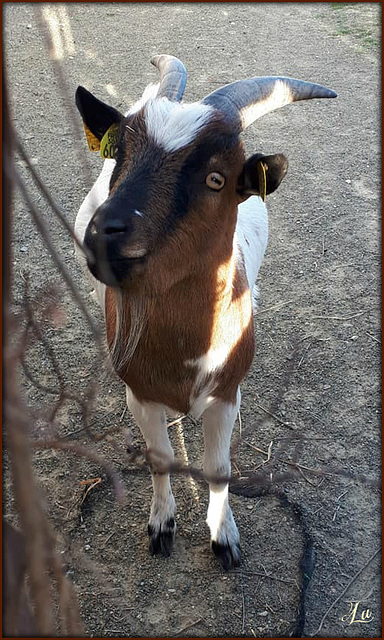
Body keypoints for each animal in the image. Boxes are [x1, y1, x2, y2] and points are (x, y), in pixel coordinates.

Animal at [75, 52, 336, 568]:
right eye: (120, 158)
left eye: (216, 179)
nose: (103, 234)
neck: (187, 353)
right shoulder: (143, 394)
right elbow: (159, 459)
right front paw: (161, 526)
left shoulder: (227, 393)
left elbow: (218, 468)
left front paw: (224, 536)